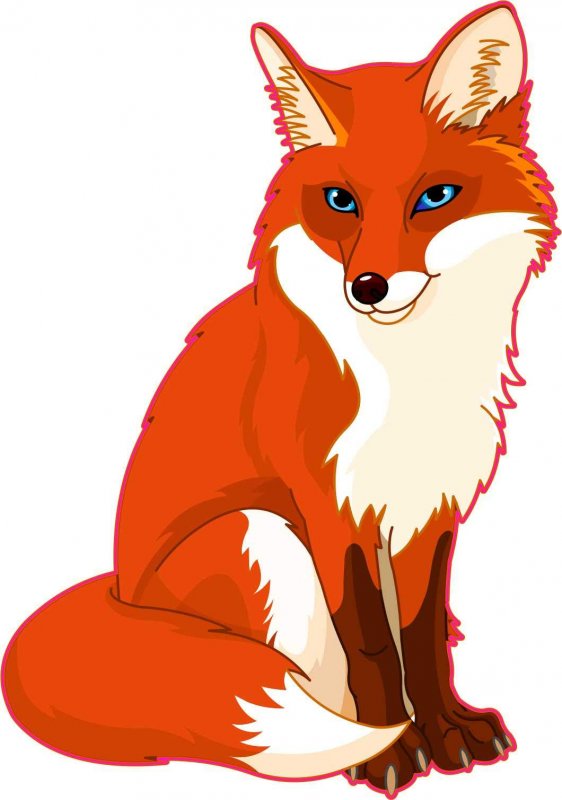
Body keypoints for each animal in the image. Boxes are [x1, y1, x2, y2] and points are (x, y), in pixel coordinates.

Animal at [1, 2, 558, 796]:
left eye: (434, 198)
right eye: (340, 202)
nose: (368, 287)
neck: (405, 376)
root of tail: (117, 592)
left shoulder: (426, 506)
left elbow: (419, 637)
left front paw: (447, 728)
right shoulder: (329, 507)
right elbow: (372, 647)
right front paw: (392, 750)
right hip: (258, 532)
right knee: (305, 681)